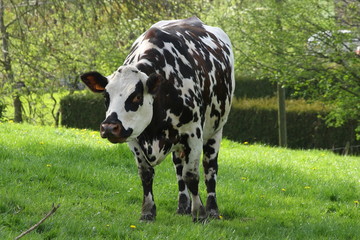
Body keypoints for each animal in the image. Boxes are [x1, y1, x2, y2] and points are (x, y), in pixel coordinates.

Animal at [80, 15, 235, 221]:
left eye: (136, 96)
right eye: (106, 96)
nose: (109, 127)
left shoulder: (193, 133)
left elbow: (192, 176)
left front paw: (199, 213)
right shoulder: (134, 138)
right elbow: (146, 174)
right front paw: (147, 211)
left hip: (216, 130)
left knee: (210, 169)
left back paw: (212, 209)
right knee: (179, 169)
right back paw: (182, 206)